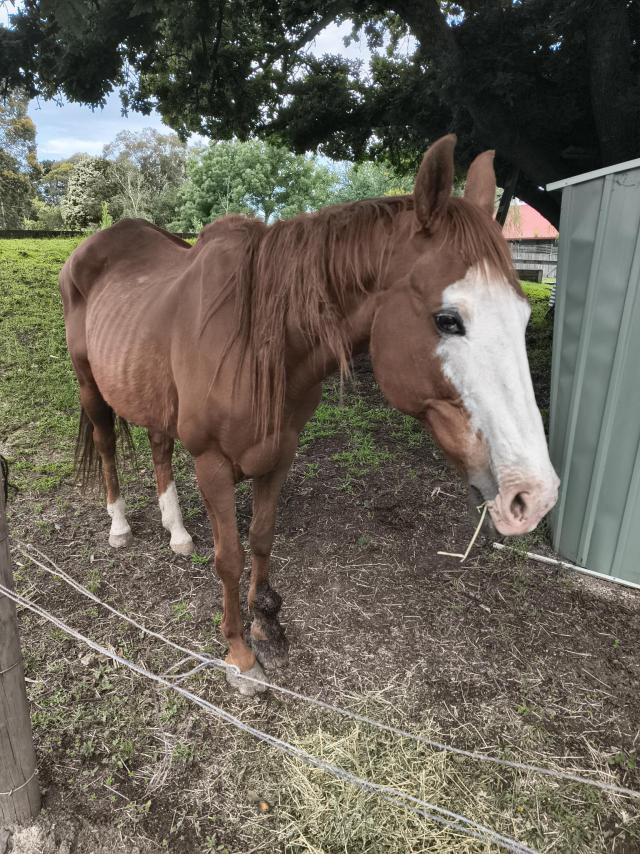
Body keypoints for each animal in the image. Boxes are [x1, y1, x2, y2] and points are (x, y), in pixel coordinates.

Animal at [59, 135, 559, 695]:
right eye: (448, 319)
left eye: (523, 315)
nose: (533, 496)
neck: (256, 338)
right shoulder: (212, 462)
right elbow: (229, 558)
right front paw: (239, 655)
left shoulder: (280, 452)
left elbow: (261, 538)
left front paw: (265, 625)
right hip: (91, 389)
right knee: (106, 447)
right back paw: (120, 526)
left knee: (158, 445)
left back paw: (178, 533)